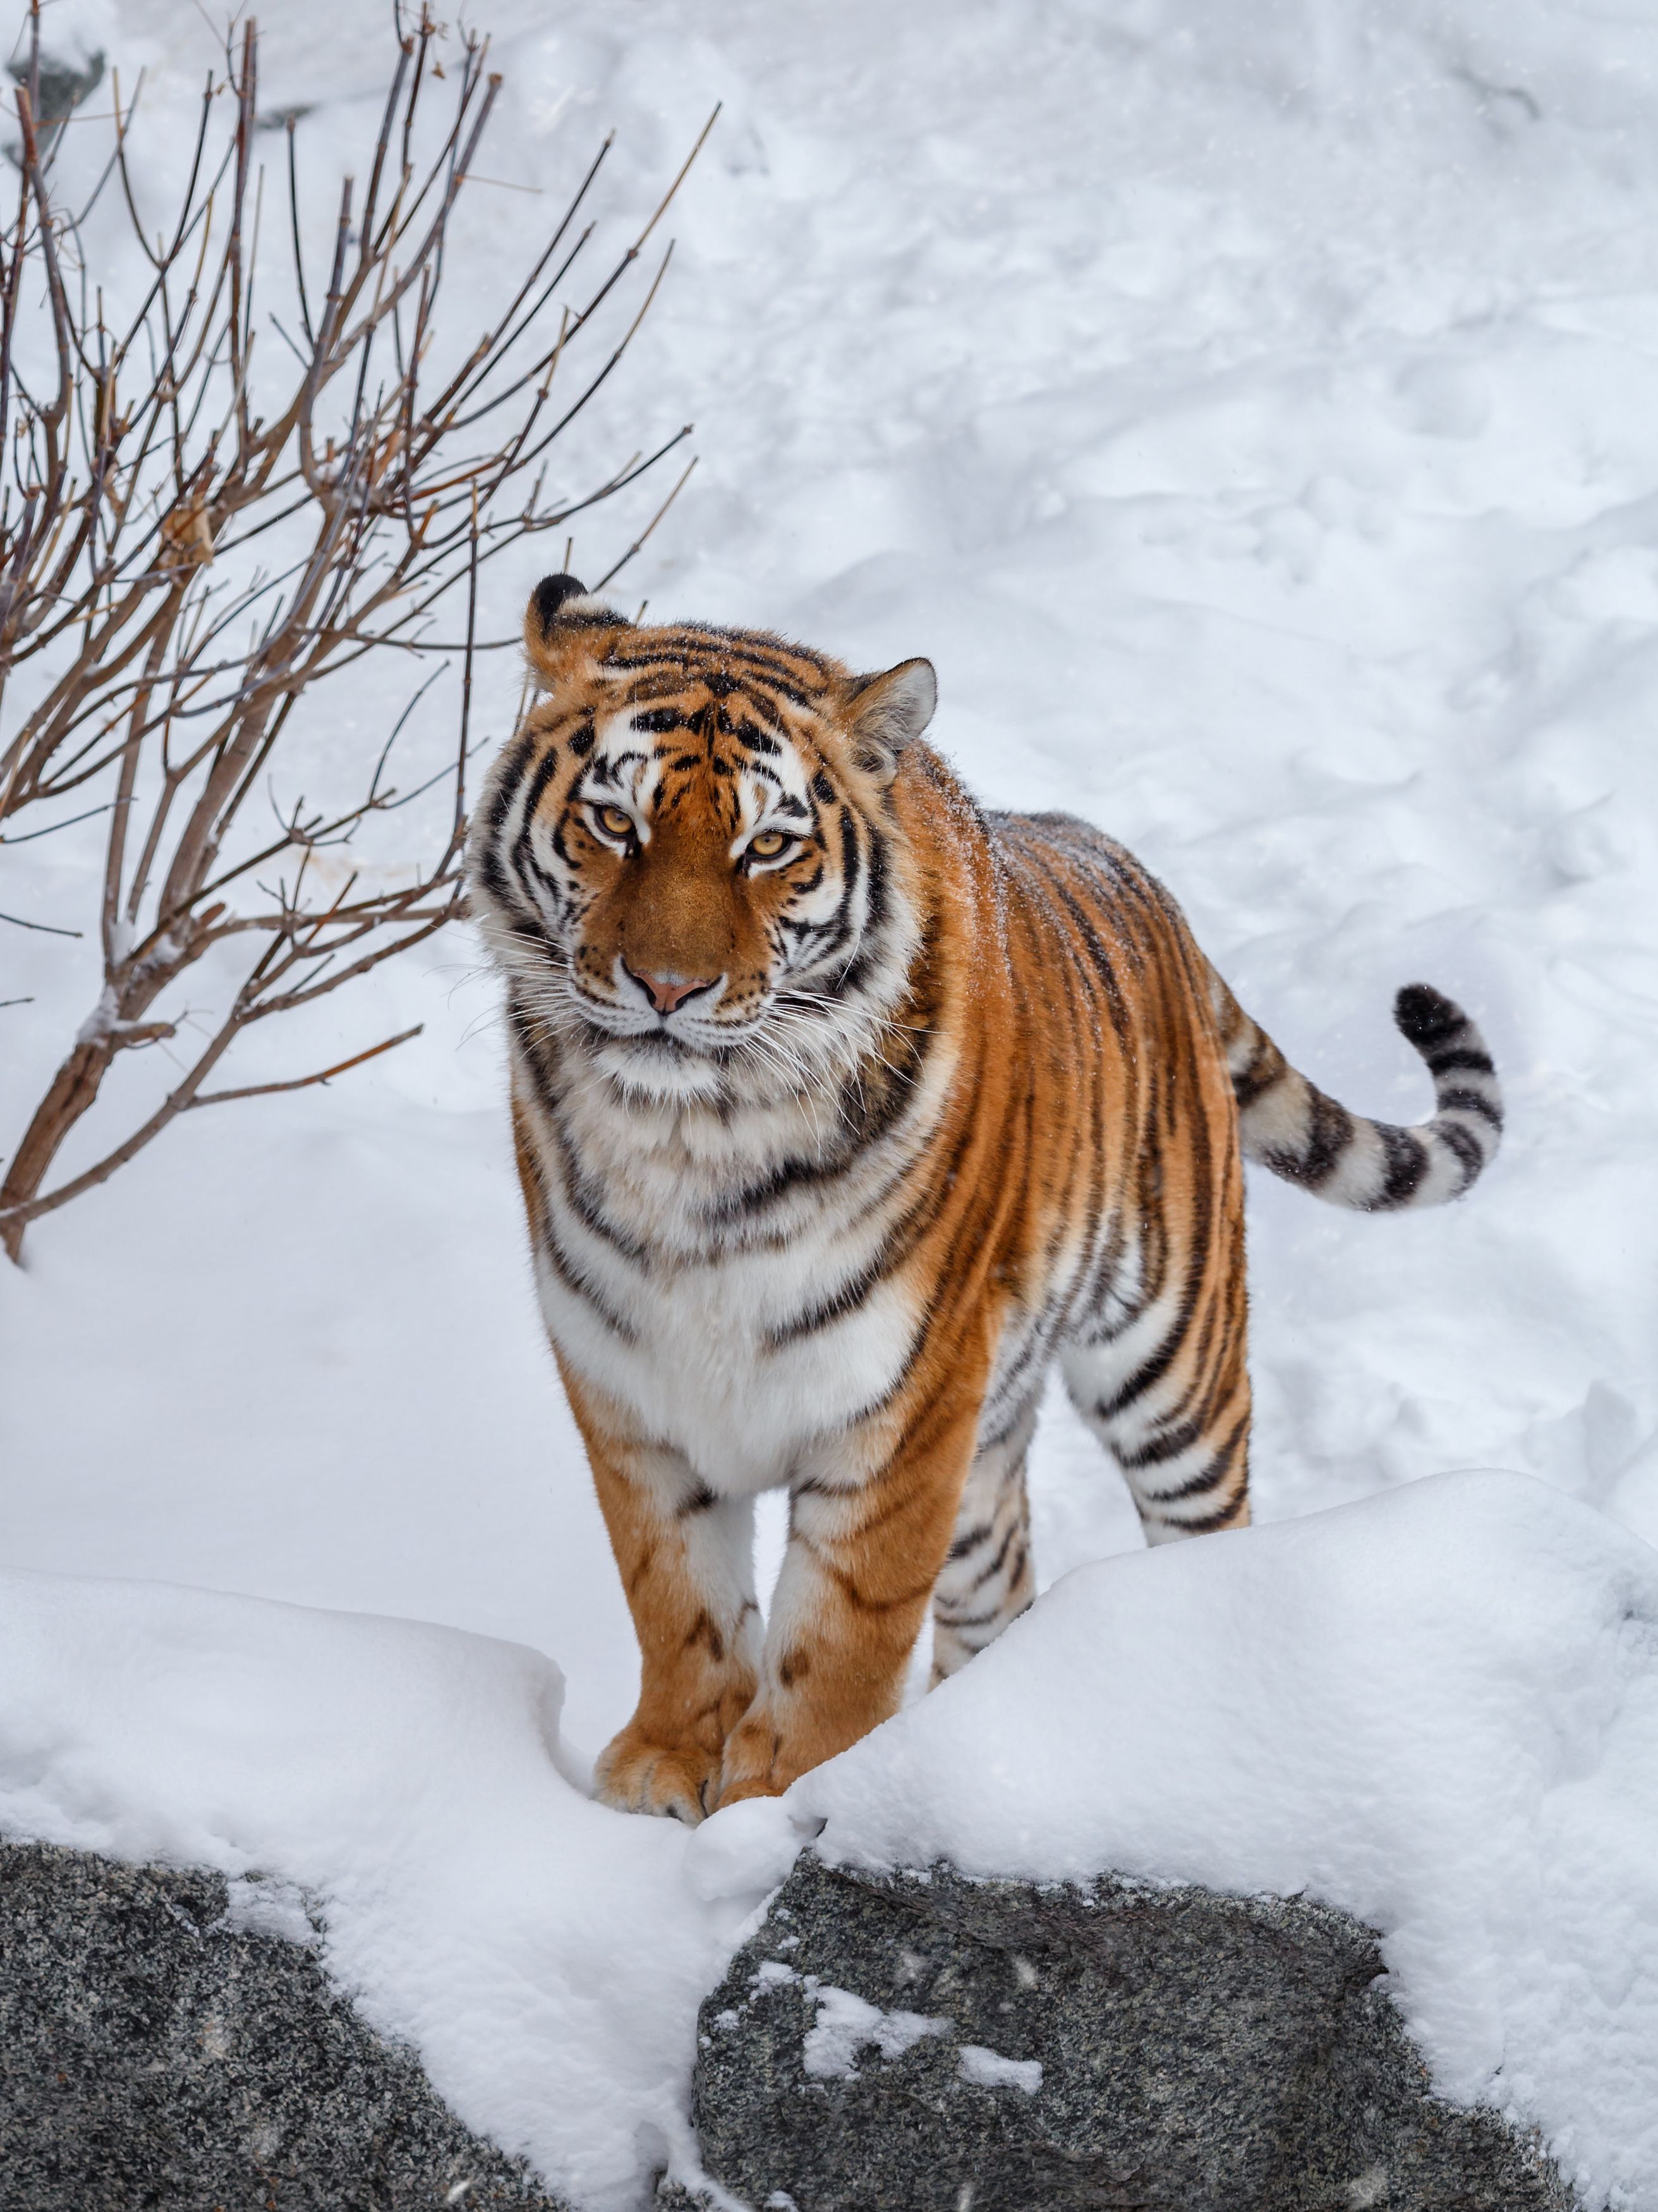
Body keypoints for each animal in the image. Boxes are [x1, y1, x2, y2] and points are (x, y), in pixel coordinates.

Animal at [468, 580, 1503, 1823]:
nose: (669, 989)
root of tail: (1125, 867)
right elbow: (675, 1594)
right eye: (615, 825)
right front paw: (667, 1768)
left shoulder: (904, 1399)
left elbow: (843, 1632)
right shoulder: (626, 1382)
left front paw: (784, 1793)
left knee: (1201, 1530)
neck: (689, 1140)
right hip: (994, 1451)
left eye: (767, 846)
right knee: (996, 1587)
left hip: (1175, 1373)